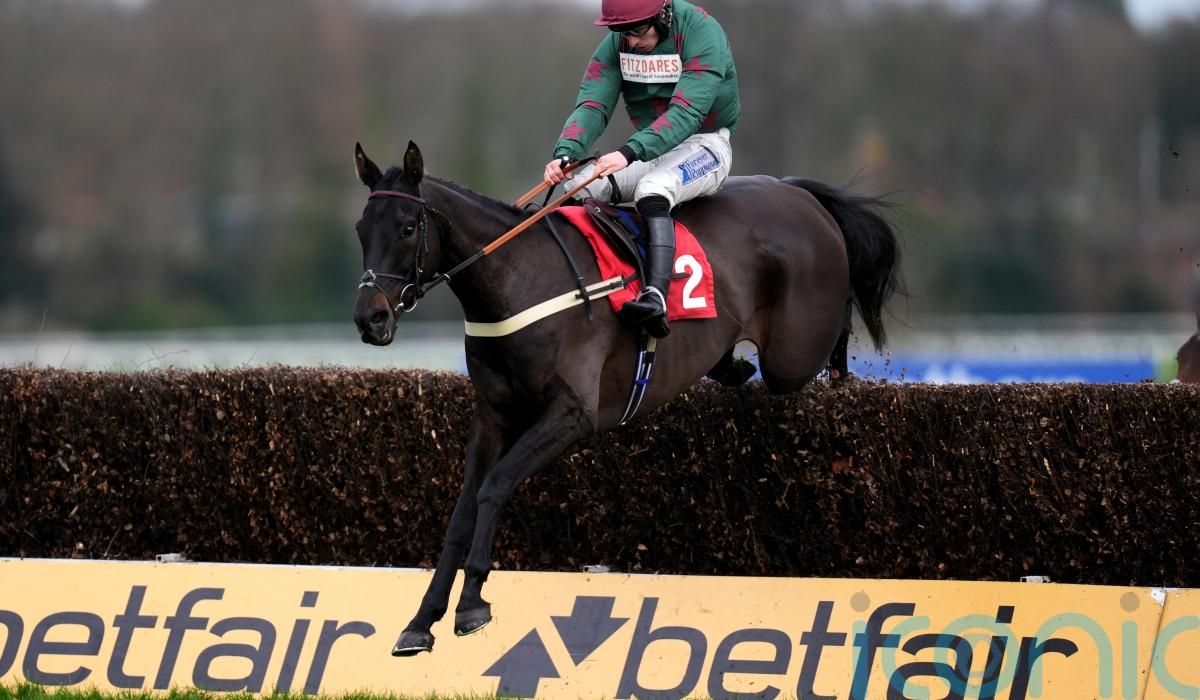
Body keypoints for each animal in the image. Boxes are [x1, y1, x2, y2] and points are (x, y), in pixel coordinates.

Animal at [351, 141, 902, 656]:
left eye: (407, 227)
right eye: (361, 230)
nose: (369, 318)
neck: (518, 279)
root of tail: (799, 192)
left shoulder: (572, 413)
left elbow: (495, 486)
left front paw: (471, 605)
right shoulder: (494, 413)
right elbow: (463, 508)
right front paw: (421, 621)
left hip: (795, 351)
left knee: (832, 339)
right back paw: (732, 364)